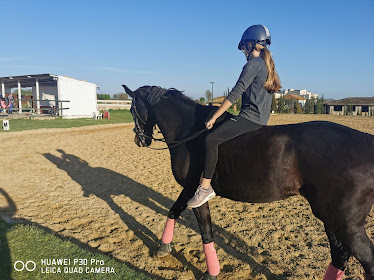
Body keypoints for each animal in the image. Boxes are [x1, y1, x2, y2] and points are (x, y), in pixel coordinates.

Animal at [123, 85, 374, 280]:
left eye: (131, 109)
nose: (138, 140)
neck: (190, 131)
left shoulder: (194, 191)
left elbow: (205, 231)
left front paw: (211, 273)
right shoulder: (188, 191)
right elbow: (173, 211)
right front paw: (163, 247)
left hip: (346, 224)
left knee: (365, 260)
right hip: (333, 220)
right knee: (340, 256)